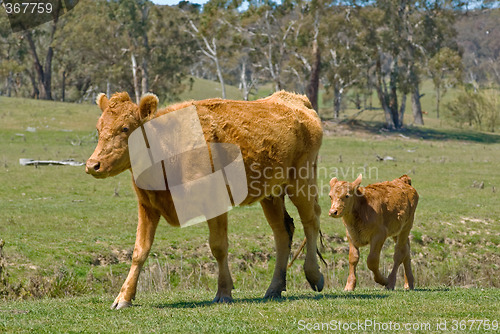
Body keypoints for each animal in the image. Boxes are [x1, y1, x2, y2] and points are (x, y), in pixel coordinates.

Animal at [86, 90, 324, 310]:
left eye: (126, 128)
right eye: (98, 128)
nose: (92, 164)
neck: (169, 148)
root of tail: (294, 100)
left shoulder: (215, 203)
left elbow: (218, 247)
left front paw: (224, 292)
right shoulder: (147, 207)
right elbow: (139, 251)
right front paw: (123, 297)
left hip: (301, 182)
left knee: (311, 220)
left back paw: (314, 276)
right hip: (271, 194)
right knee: (282, 232)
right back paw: (274, 288)